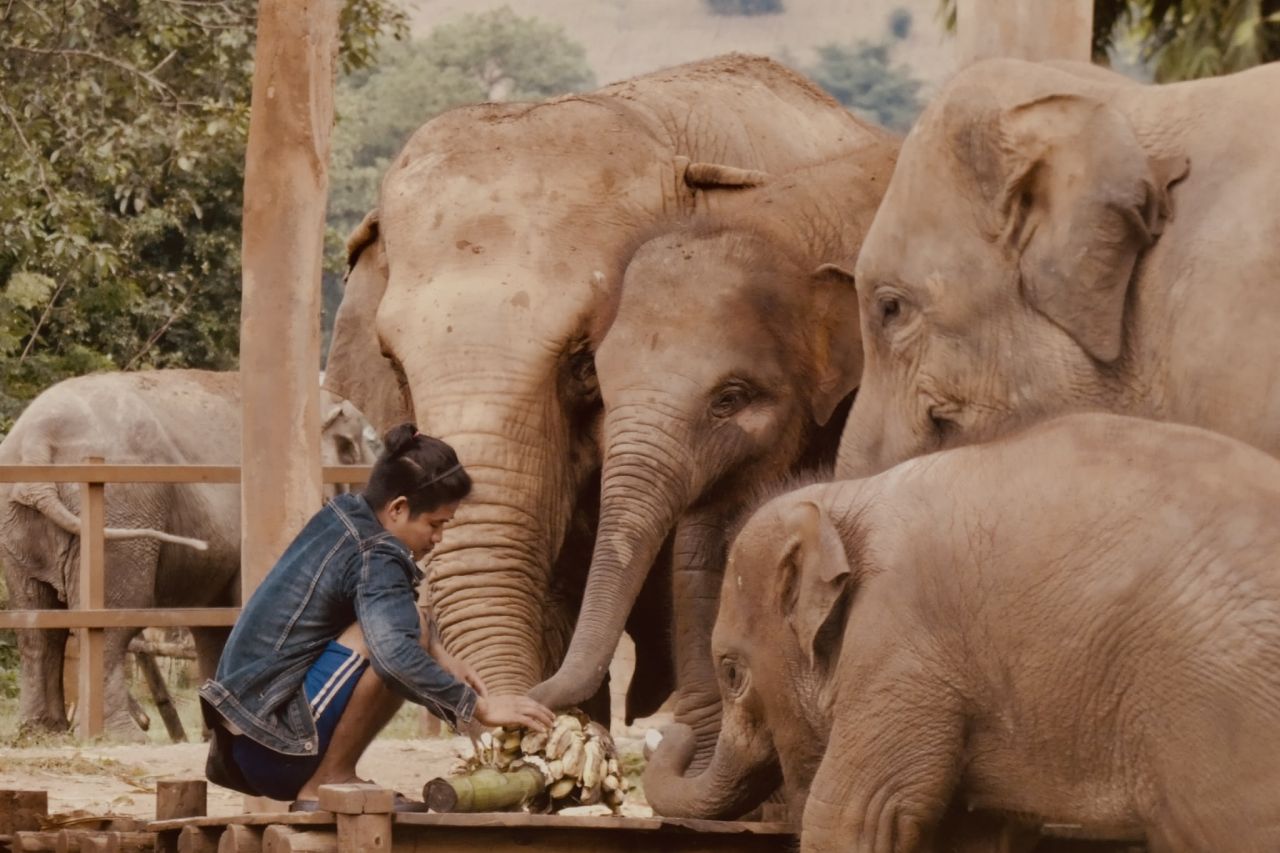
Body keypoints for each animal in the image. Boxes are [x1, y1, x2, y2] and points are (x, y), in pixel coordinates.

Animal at [0, 368, 376, 732]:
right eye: (355, 450)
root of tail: (37, 441)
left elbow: (214, 623)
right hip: (121, 507)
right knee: (113, 618)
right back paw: (118, 733)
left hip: (17, 523)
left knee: (35, 624)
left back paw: (39, 731)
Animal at [660, 412, 1280, 850]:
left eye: (731, 673)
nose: (667, 730)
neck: (849, 499)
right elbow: (968, 833)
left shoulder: (900, 647)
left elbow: (853, 814)